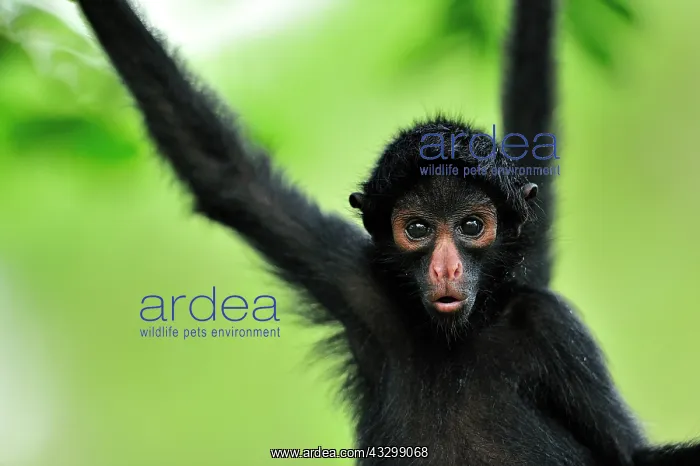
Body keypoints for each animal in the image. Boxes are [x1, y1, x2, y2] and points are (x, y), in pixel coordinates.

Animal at [70, 0, 700, 465]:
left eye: (471, 226)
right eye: (417, 229)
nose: (445, 267)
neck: (457, 339)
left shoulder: (554, 328)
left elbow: (630, 456)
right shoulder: (356, 282)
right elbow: (226, 176)